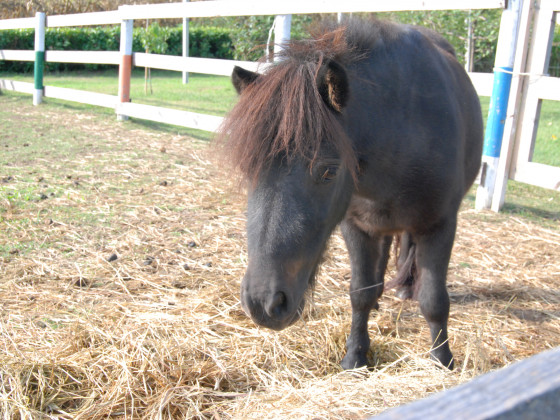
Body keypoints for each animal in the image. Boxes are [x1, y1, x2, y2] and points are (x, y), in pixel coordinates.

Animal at [221, 18, 484, 370]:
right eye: (248, 168)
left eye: (328, 171)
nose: (263, 304)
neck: (404, 127)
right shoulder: (357, 225)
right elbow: (360, 292)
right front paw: (356, 355)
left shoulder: (439, 226)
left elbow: (434, 300)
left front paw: (442, 358)